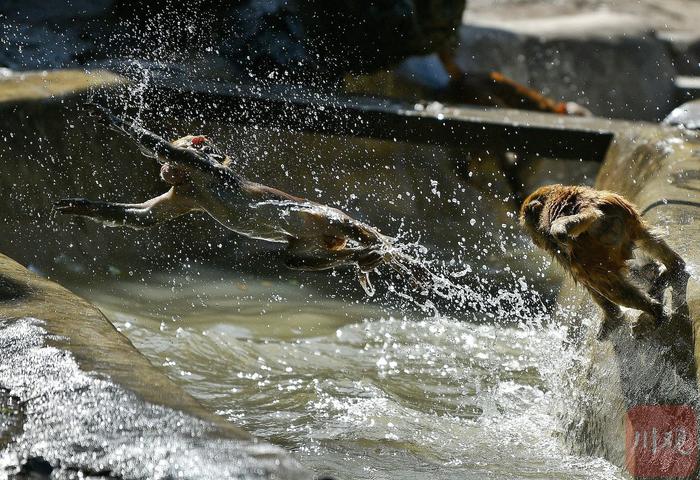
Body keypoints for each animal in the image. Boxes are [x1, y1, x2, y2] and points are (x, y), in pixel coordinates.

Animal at [56, 105, 416, 292]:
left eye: (168, 165)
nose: (164, 171)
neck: (193, 179)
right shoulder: (185, 192)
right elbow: (144, 217)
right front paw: (80, 205)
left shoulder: (196, 165)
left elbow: (161, 145)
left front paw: (115, 120)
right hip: (315, 240)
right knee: (296, 259)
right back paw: (363, 257)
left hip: (318, 215)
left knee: (339, 222)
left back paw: (375, 248)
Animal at [516, 185, 688, 342]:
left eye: (531, 230)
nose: (534, 241)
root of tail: (588, 207)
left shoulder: (558, 246)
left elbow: (590, 285)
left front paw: (612, 318)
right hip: (623, 214)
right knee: (647, 239)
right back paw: (674, 267)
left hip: (590, 245)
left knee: (611, 288)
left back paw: (655, 311)